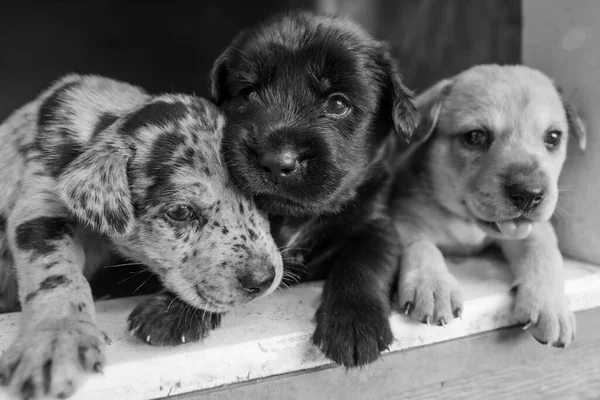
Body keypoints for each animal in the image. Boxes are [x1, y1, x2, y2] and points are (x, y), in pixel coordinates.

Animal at [0, 73, 284, 398]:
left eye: (259, 197)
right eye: (181, 212)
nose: (262, 280)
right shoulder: (42, 202)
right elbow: (56, 274)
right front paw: (57, 339)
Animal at [210, 10, 418, 366]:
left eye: (338, 103)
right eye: (249, 93)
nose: (276, 161)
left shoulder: (376, 225)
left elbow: (364, 262)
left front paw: (355, 323)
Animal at [390, 65, 584, 346]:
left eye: (554, 137)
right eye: (474, 136)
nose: (528, 194)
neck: (466, 222)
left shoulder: (535, 229)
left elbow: (543, 253)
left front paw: (551, 305)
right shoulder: (402, 218)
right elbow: (421, 245)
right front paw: (432, 285)